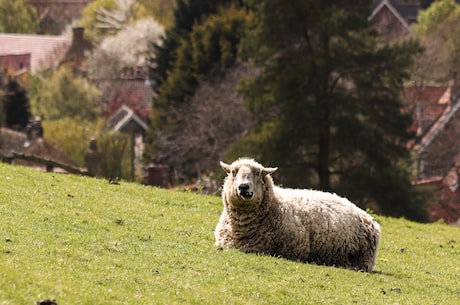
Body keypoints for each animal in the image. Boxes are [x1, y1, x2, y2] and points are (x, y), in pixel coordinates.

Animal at [216, 157, 380, 270]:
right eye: (233, 172)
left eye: (257, 173)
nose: (243, 187)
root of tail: (367, 217)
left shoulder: (293, 248)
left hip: (361, 256)